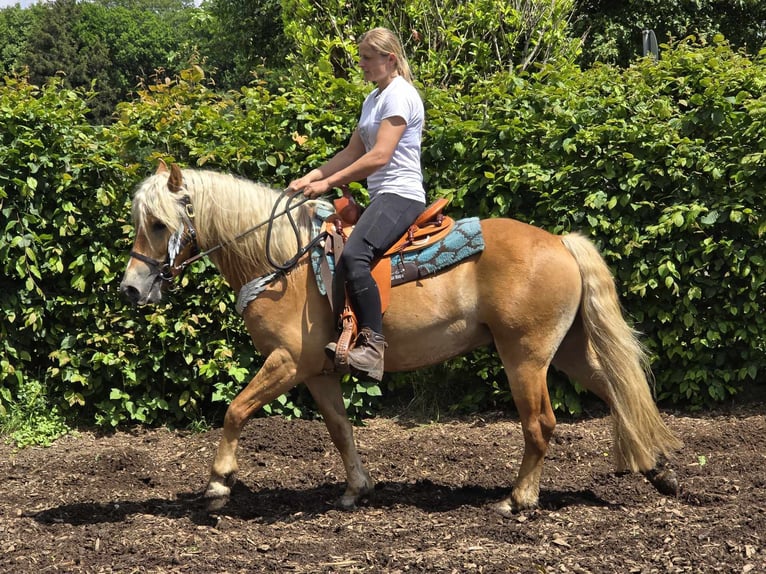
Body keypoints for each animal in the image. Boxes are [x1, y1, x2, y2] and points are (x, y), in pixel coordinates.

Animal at [120, 160, 684, 516]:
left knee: (541, 424)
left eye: (159, 223)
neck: (282, 260)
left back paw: (518, 500)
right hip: (565, 351)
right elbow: (340, 429)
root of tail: (561, 243)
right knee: (620, 392)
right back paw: (658, 470)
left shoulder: (286, 362)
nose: (131, 288)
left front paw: (218, 484)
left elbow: (235, 410)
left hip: (525, 356)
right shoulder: (318, 371)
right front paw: (356, 490)